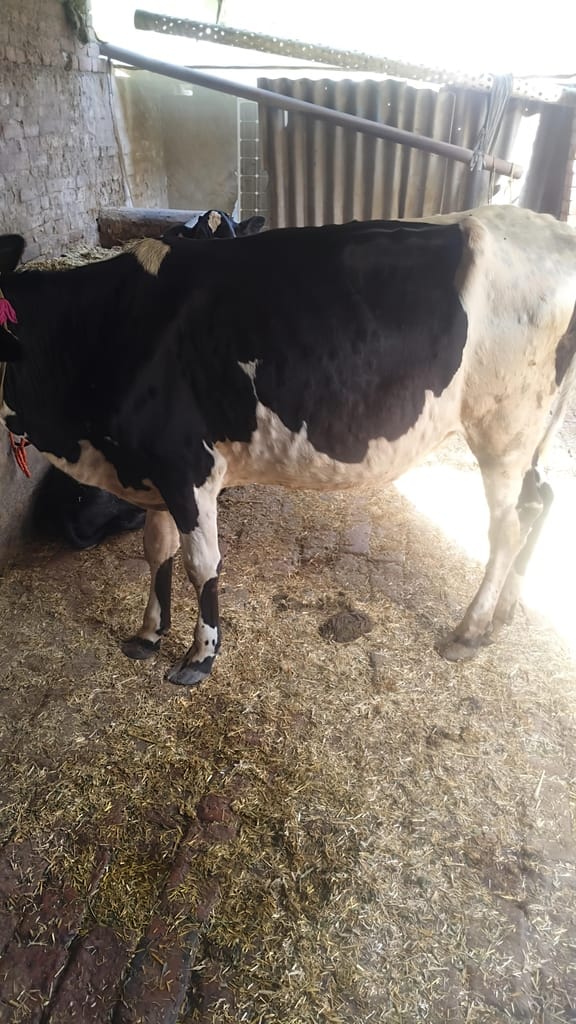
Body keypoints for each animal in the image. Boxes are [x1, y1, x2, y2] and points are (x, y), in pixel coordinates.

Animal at [0, 206, 575, 687]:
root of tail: (550, 229)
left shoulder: (187, 465)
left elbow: (201, 565)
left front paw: (199, 658)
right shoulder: (150, 467)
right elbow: (156, 551)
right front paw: (147, 635)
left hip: (503, 431)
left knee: (506, 528)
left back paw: (468, 632)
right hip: (531, 437)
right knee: (539, 500)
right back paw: (504, 613)